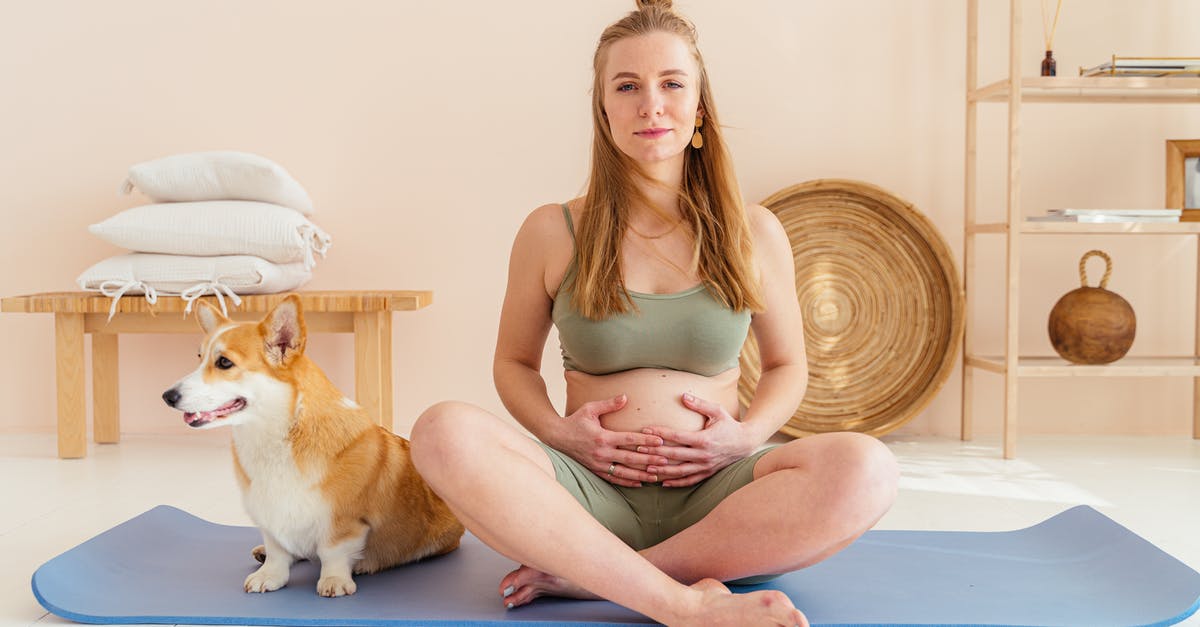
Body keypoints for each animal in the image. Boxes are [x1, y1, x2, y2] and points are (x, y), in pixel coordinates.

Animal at [166, 293, 465, 595]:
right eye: (199, 358)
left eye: (224, 363)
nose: (167, 396)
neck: (275, 436)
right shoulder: (268, 514)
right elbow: (277, 550)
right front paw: (269, 574)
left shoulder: (342, 522)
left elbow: (333, 552)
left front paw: (334, 581)